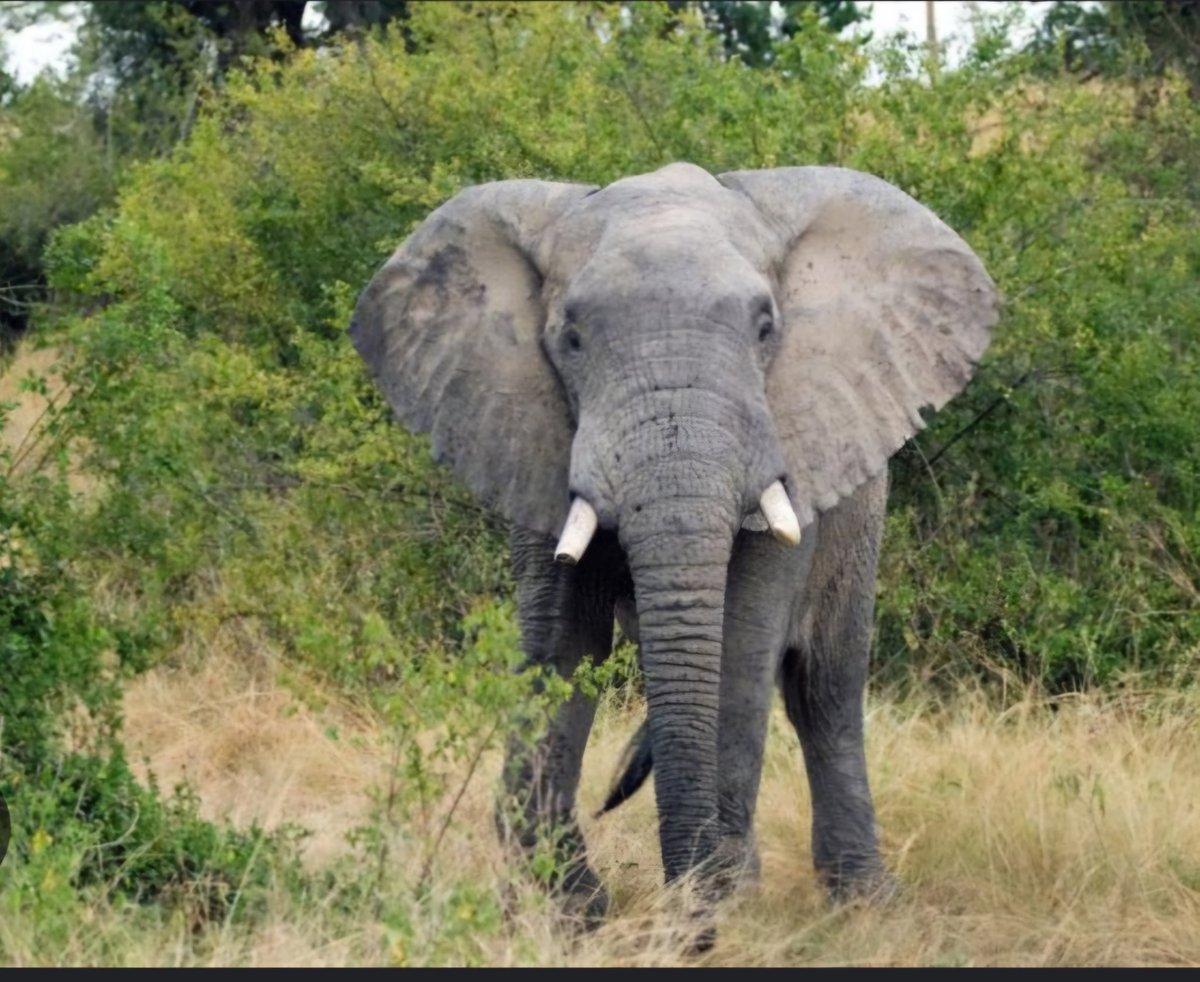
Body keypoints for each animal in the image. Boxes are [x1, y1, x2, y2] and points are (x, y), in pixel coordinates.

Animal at [350, 162, 999, 936]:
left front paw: (719, 902)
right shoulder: (531, 432)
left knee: (826, 689)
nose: (689, 927)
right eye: (570, 338)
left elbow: (738, 646)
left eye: (765, 328)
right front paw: (564, 913)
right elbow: (561, 646)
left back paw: (866, 905)